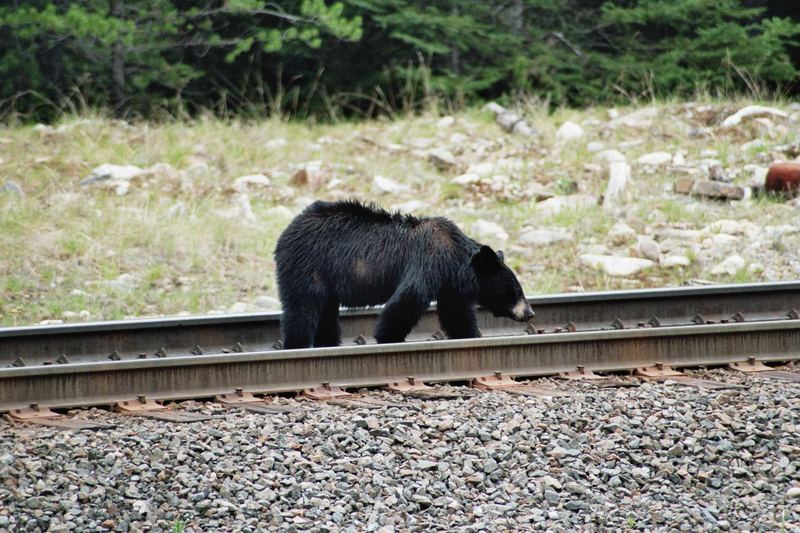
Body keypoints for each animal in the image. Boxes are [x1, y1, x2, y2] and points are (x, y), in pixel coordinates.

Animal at [274, 201, 532, 350]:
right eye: (516, 291)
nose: (530, 312)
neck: (455, 257)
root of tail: (287, 231)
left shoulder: (449, 284)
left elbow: (456, 312)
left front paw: (470, 335)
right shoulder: (429, 258)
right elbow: (409, 298)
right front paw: (387, 338)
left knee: (326, 311)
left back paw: (327, 342)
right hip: (309, 266)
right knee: (302, 308)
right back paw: (296, 344)